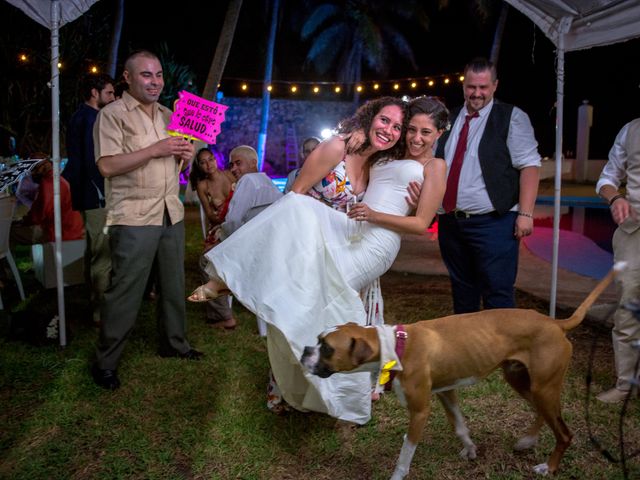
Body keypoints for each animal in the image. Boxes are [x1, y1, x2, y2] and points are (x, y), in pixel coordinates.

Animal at [300, 266, 620, 476]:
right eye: (318, 339)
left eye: (326, 348)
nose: (304, 351)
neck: (395, 346)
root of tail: (555, 323)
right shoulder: (447, 392)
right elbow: (460, 426)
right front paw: (470, 449)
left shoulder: (420, 411)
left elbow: (406, 452)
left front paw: (397, 475)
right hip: (522, 380)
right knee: (545, 414)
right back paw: (528, 440)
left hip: (542, 387)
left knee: (564, 433)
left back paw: (548, 467)